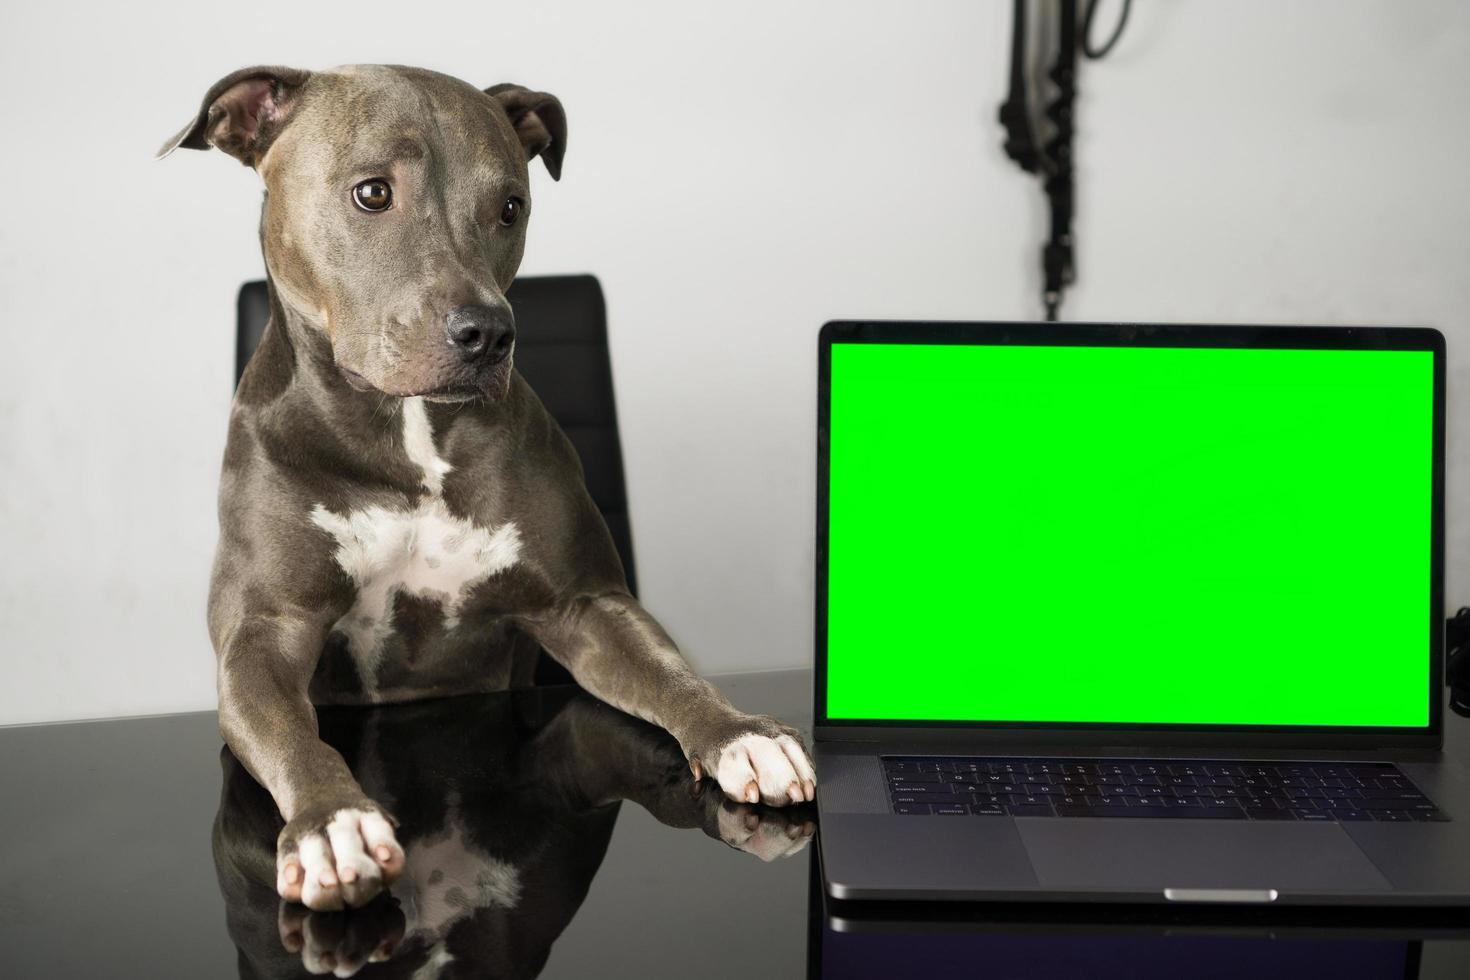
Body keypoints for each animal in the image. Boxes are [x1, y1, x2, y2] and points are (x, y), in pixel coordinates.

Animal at [166, 65, 823, 916]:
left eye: (512, 206)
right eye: (372, 193)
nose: (486, 332)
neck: (406, 433)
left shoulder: (584, 605)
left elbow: (667, 671)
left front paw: (741, 733)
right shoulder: (263, 632)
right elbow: (291, 733)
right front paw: (331, 823)